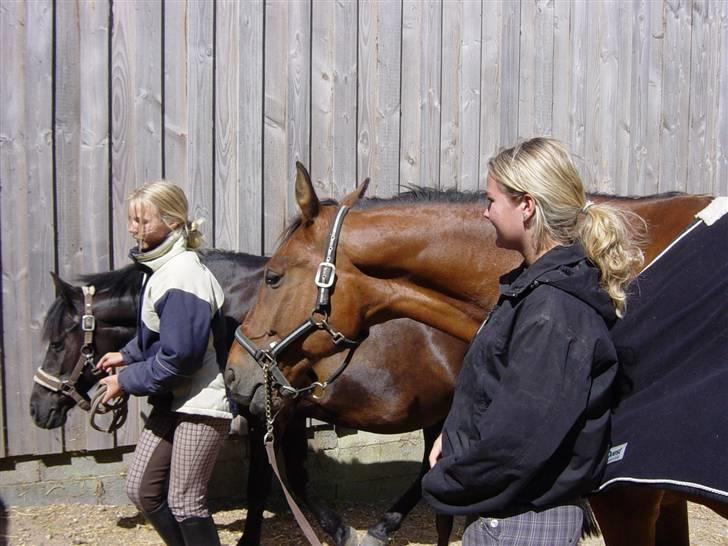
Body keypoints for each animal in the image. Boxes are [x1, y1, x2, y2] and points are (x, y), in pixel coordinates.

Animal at [32, 249, 460, 540]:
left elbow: (265, 483)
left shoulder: (266, 413)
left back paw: (383, 527)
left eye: (57, 343)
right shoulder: (284, 412)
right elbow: (294, 476)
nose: (39, 409)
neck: (226, 307)